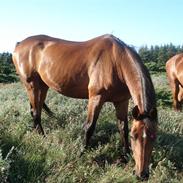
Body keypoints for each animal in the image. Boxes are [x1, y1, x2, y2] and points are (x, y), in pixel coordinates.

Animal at [12, 34, 157, 180]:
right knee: (36, 113)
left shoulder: (121, 101)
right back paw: (43, 139)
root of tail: (19, 44)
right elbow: (89, 127)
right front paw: (81, 154)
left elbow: (123, 128)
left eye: (153, 137)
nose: (142, 175)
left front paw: (125, 156)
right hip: (32, 85)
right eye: (134, 136)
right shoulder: (96, 98)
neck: (116, 60)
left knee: (36, 111)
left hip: (43, 86)